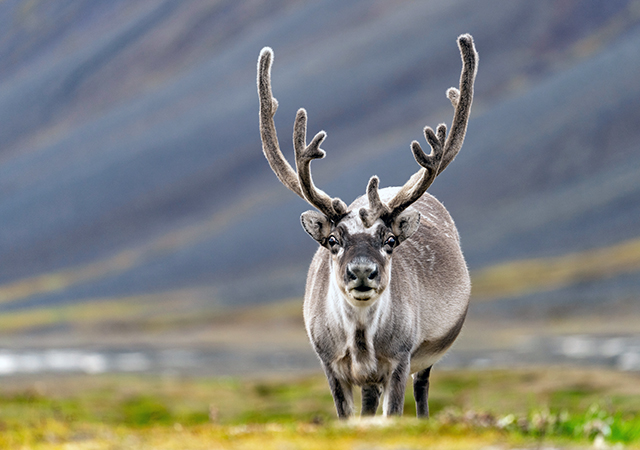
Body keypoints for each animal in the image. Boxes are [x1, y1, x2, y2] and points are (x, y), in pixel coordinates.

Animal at [256, 34, 477, 419]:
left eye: (389, 240)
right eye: (332, 240)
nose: (362, 272)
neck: (361, 341)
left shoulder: (400, 361)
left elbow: (395, 411)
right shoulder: (331, 366)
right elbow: (348, 414)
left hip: (427, 356)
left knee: (422, 388)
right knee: (370, 400)